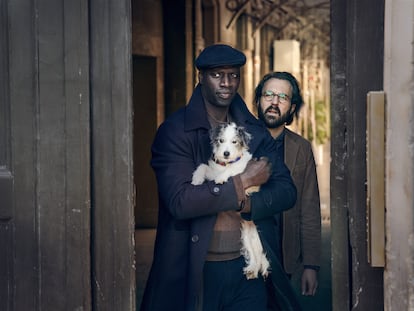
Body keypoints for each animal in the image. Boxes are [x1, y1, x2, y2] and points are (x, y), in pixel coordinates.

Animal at [192, 123, 270, 282]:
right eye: (221, 140)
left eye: (234, 142)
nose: (226, 153)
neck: (226, 164)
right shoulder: (212, 170)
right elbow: (203, 166)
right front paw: (196, 178)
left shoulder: (240, 168)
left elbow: (233, 171)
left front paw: (222, 178)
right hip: (246, 236)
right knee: (253, 254)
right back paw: (252, 270)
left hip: (255, 236)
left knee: (259, 253)